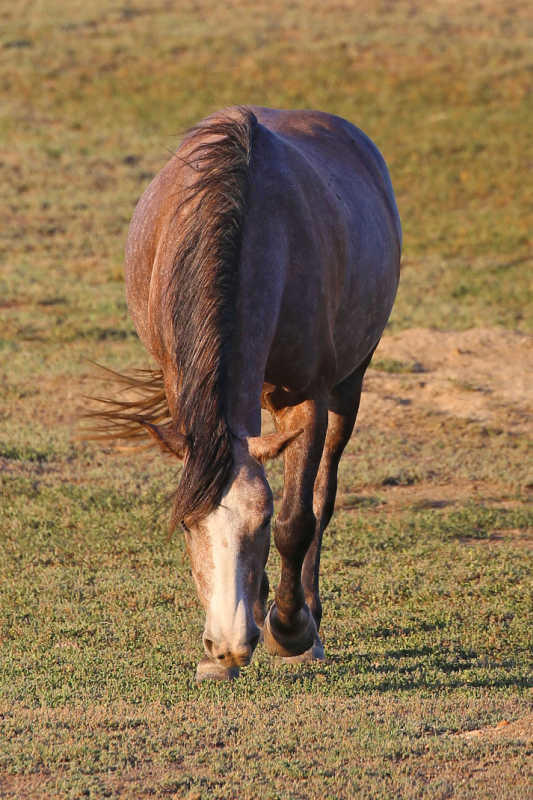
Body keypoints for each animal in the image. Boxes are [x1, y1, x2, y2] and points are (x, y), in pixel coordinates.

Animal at [90, 106, 400, 680]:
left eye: (259, 524)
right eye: (187, 528)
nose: (228, 645)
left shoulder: (308, 398)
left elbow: (297, 520)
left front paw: (290, 629)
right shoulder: (181, 385)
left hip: (350, 384)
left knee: (323, 492)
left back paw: (305, 615)